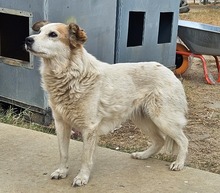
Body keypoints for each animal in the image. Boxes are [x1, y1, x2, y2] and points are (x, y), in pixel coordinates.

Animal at [25, 21, 187, 187]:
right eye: (39, 32)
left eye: (53, 34)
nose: (27, 40)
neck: (71, 75)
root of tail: (169, 71)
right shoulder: (61, 124)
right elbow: (63, 153)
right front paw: (62, 172)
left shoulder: (89, 129)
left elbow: (85, 158)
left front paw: (82, 177)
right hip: (144, 120)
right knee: (160, 140)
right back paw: (143, 155)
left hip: (163, 120)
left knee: (183, 140)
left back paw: (179, 163)